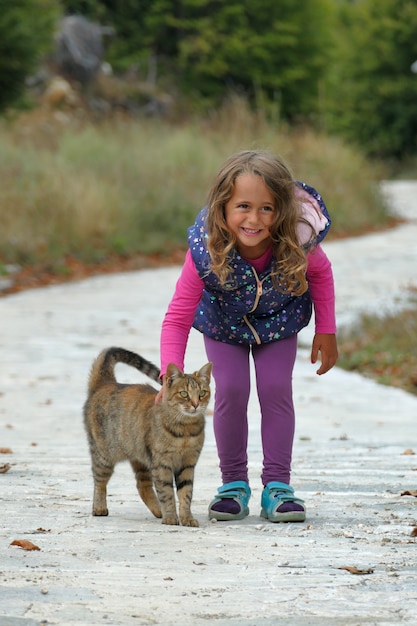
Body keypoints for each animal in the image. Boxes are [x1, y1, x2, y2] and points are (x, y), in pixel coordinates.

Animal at [83, 346, 211, 528]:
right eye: (184, 394)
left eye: (202, 393)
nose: (195, 404)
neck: (185, 431)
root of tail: (106, 383)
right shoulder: (162, 464)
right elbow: (167, 492)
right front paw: (171, 517)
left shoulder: (187, 464)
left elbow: (185, 493)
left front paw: (186, 518)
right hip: (104, 455)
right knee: (99, 481)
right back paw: (99, 507)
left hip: (140, 458)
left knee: (141, 485)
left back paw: (158, 510)